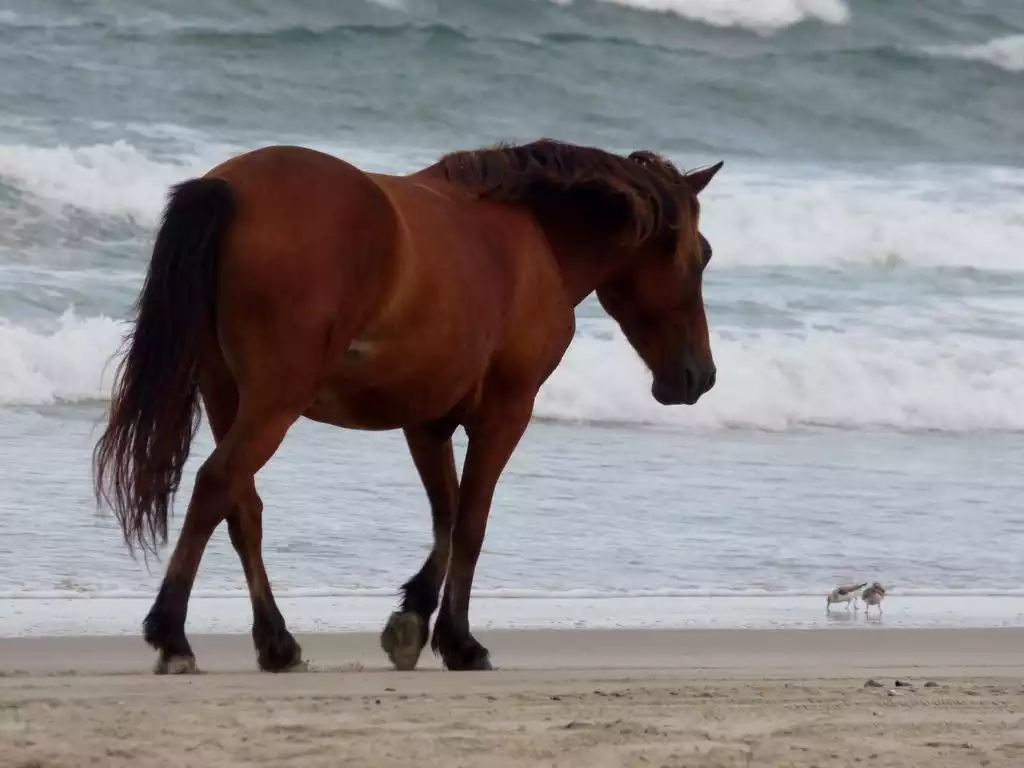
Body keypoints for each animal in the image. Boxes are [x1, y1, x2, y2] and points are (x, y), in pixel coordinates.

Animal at [94, 137, 720, 671]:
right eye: (703, 256)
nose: (700, 377)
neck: (532, 236)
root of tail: (231, 186)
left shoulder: (427, 421)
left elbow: (447, 514)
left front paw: (414, 618)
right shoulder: (505, 413)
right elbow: (471, 522)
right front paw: (459, 641)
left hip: (228, 396)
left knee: (242, 507)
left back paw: (276, 642)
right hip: (273, 402)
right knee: (217, 486)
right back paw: (173, 635)